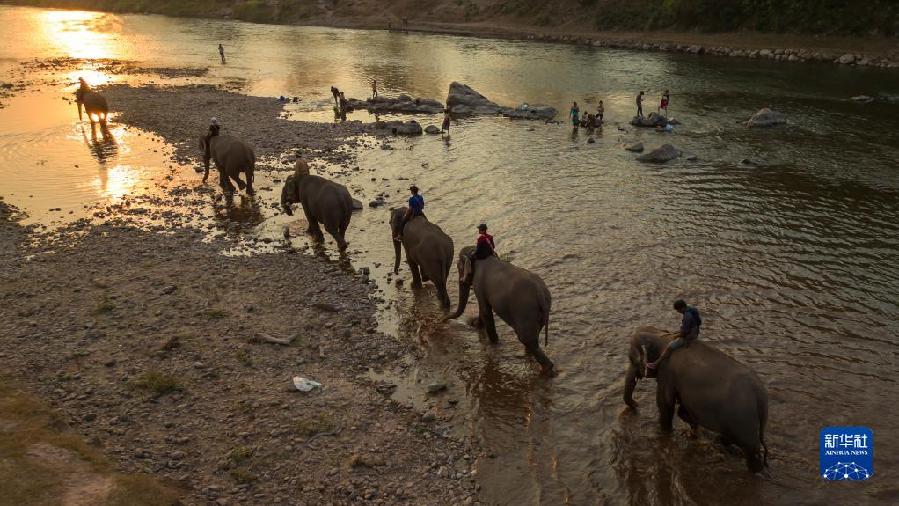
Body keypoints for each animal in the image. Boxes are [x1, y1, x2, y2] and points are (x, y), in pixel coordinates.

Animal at [624, 326, 768, 472]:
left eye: (631, 359)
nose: (637, 404)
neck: (662, 336)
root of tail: (761, 395)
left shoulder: (666, 372)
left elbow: (665, 403)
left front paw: (666, 432)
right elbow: (683, 409)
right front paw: (693, 432)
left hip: (742, 418)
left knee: (750, 448)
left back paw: (753, 469)